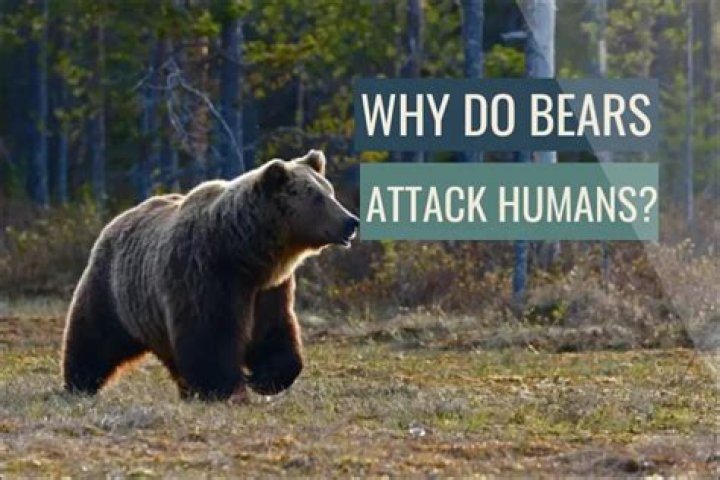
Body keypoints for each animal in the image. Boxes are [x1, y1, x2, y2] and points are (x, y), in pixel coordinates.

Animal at [61, 150, 359, 401]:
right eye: (317, 197)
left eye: (330, 191)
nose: (351, 221)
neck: (245, 253)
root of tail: (117, 219)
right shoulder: (205, 274)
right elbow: (210, 336)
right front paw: (226, 387)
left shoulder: (269, 289)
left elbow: (274, 331)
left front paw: (264, 379)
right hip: (113, 290)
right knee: (94, 336)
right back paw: (79, 383)